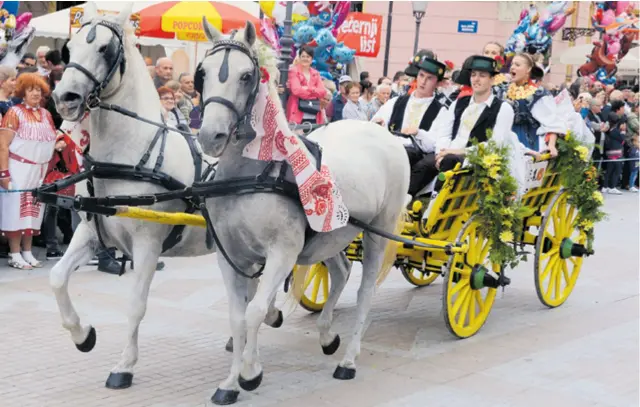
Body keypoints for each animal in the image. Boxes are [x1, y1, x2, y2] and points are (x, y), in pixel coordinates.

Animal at [50, 2, 284, 392]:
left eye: (105, 49)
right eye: (68, 48)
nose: (64, 98)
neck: (129, 154)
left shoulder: (147, 243)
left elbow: (135, 304)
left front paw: (124, 366)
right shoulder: (91, 231)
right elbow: (56, 278)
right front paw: (82, 335)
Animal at [198, 18, 410, 404]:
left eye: (246, 76)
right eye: (202, 73)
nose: (211, 136)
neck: (251, 174)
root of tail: (384, 133)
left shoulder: (282, 253)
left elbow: (253, 312)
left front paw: (250, 373)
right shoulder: (230, 256)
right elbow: (238, 317)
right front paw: (230, 382)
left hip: (377, 230)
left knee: (365, 291)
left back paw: (349, 359)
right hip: (332, 234)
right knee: (341, 271)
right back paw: (327, 335)